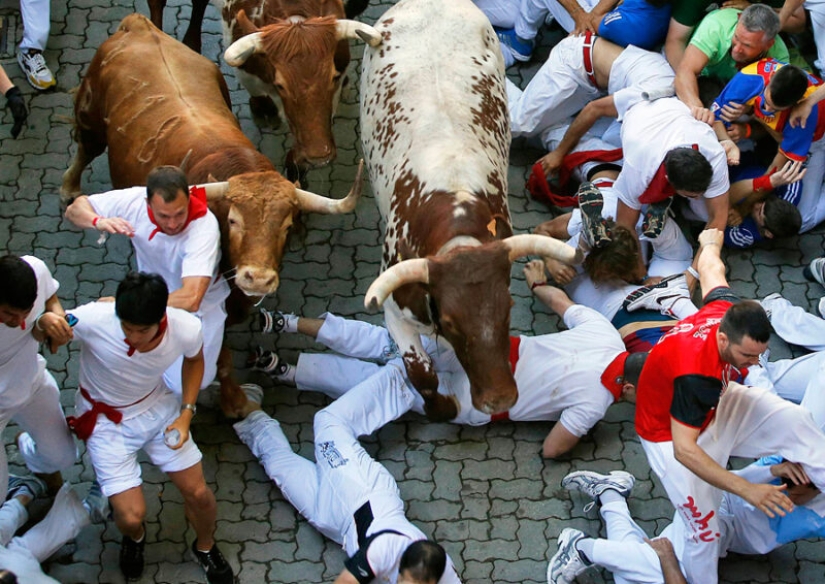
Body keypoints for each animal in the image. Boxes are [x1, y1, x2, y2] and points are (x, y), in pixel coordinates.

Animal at [62, 12, 360, 416]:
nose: (257, 278)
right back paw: (69, 187)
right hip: (91, 115)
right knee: (84, 146)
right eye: (233, 221)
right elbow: (217, 356)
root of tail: (139, 24)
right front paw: (234, 401)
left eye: (285, 227)